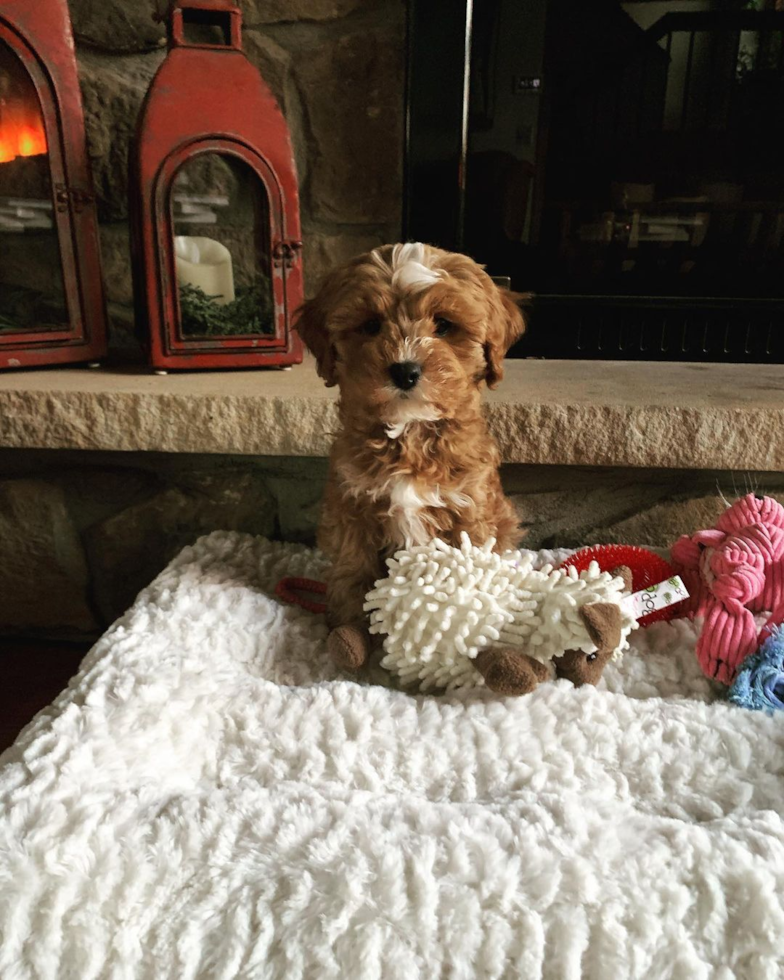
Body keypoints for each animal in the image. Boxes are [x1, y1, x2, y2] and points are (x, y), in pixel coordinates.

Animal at [298, 241, 528, 668]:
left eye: (444, 325)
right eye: (371, 325)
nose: (405, 371)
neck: (410, 433)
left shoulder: (470, 511)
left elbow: (472, 575)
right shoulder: (353, 509)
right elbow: (353, 576)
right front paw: (351, 634)